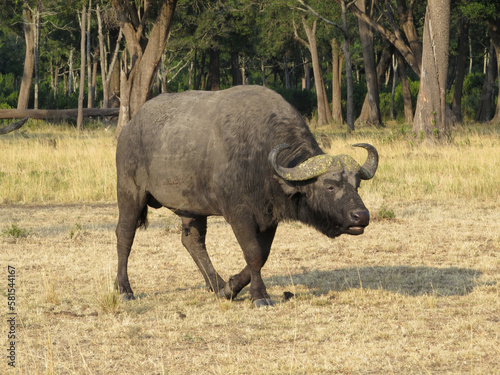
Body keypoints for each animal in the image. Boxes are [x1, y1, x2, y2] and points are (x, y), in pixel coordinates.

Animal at [115, 86, 376, 308]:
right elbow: (253, 253)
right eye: (330, 186)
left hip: (192, 208)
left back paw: (216, 285)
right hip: (130, 193)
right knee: (124, 235)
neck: (261, 160)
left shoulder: (269, 218)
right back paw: (124, 289)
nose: (361, 216)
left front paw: (230, 288)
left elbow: (262, 255)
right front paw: (259, 296)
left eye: (357, 185)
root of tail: (129, 128)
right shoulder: (238, 214)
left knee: (193, 242)